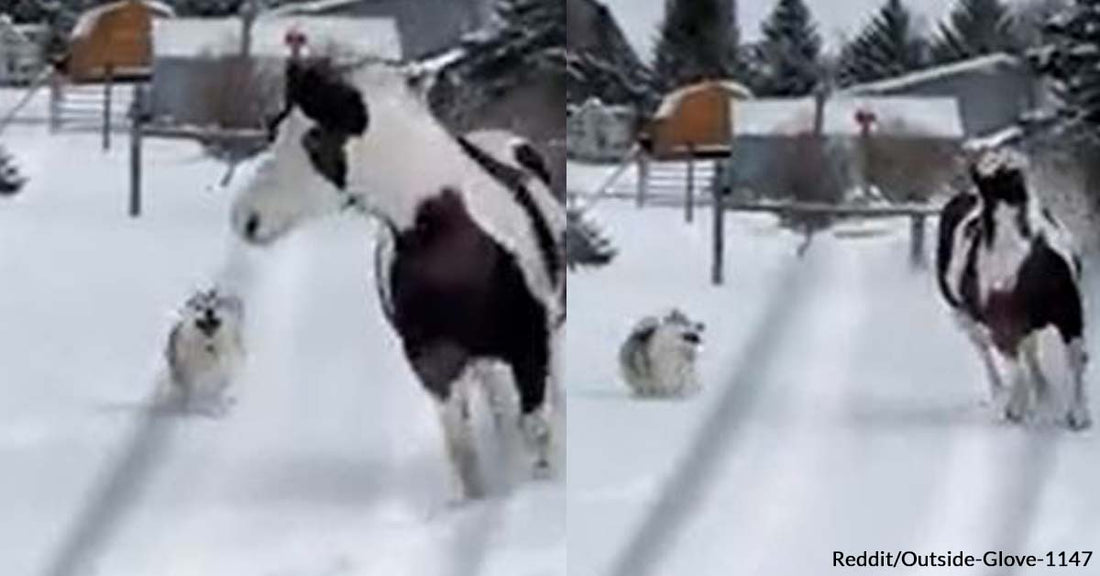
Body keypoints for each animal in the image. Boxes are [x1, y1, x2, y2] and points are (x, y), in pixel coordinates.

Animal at [228, 60, 563, 496]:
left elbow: (537, 434)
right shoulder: (434, 363)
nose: (246, 219)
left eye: (313, 139)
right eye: (274, 131)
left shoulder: (530, 348)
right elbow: (465, 453)